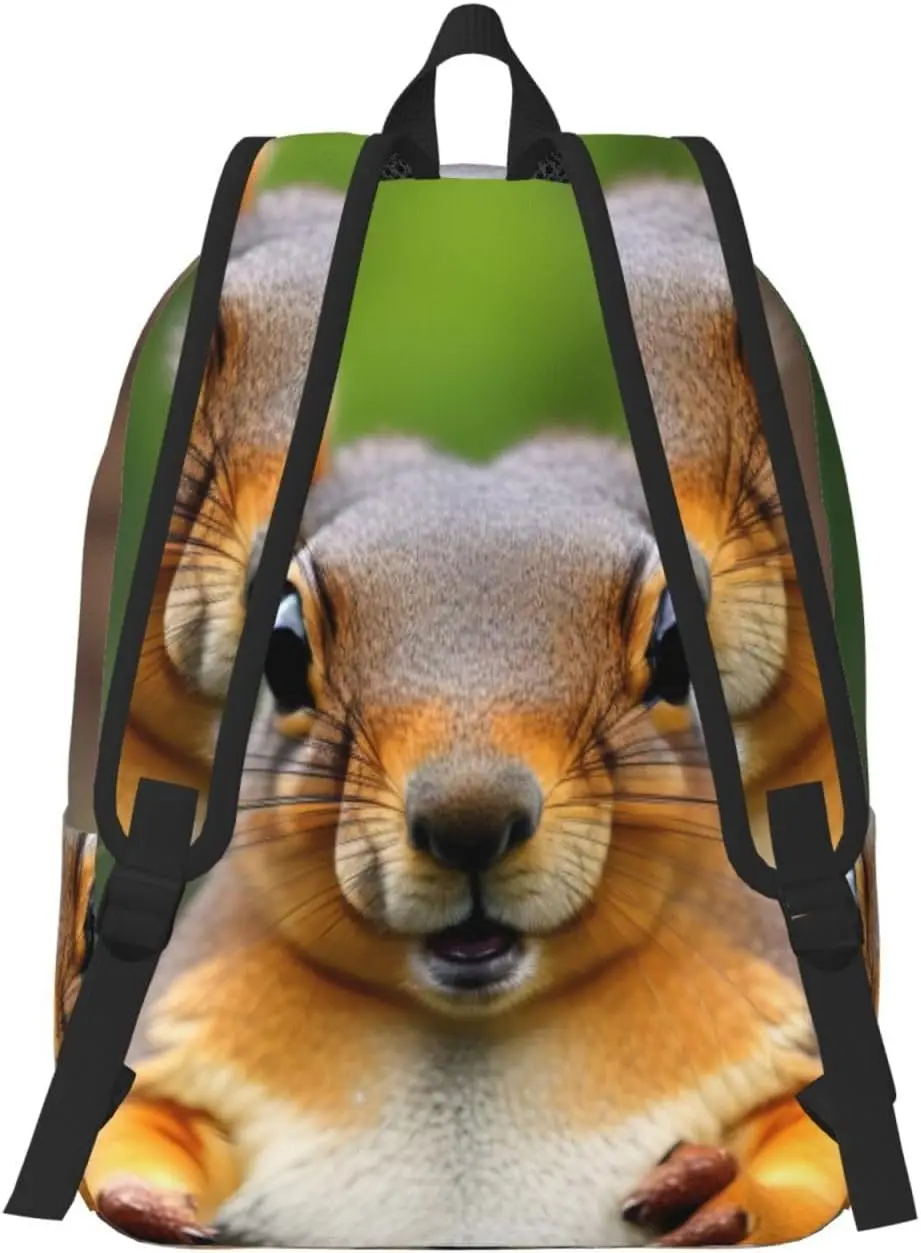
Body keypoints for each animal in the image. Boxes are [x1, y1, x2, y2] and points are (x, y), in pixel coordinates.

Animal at [66, 172, 852, 1246]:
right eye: (280, 651)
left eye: (672, 650)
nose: (469, 821)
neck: (469, 1032)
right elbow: (139, 1122)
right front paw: (147, 1195)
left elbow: (813, 1141)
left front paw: (721, 1182)